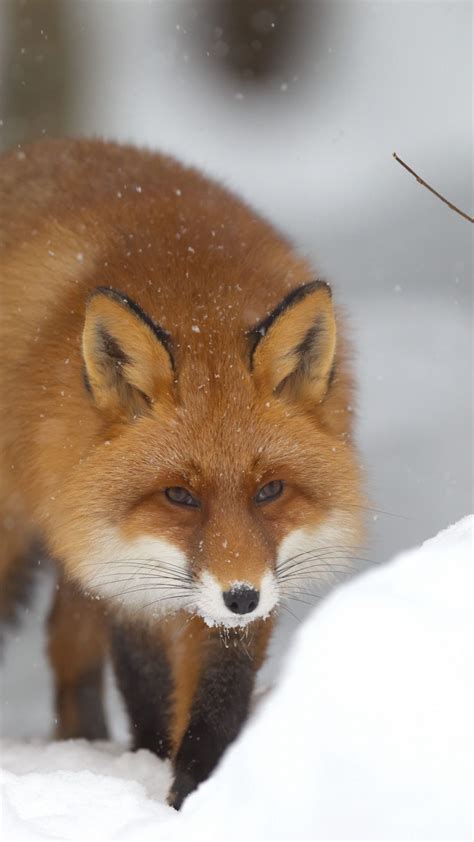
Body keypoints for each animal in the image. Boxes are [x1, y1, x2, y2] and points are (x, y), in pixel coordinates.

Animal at [0, 138, 363, 808]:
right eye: (178, 495)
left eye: (270, 490)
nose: (241, 596)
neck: (196, 295)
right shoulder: (125, 573)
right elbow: (149, 688)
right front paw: (156, 769)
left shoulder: (243, 579)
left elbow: (219, 694)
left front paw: (199, 789)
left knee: (68, 649)